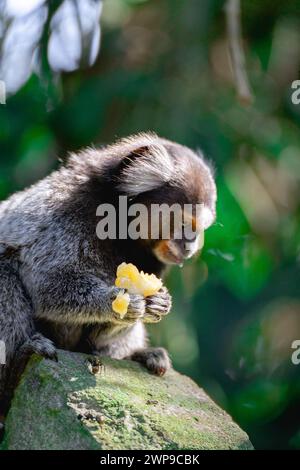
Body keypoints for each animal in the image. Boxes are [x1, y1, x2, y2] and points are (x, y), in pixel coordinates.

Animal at [0, 132, 216, 408]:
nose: (190, 246)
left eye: (201, 229)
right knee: (5, 274)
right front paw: (120, 300)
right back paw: (19, 362)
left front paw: (156, 304)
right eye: (184, 224)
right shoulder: (63, 214)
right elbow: (47, 288)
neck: (118, 229)